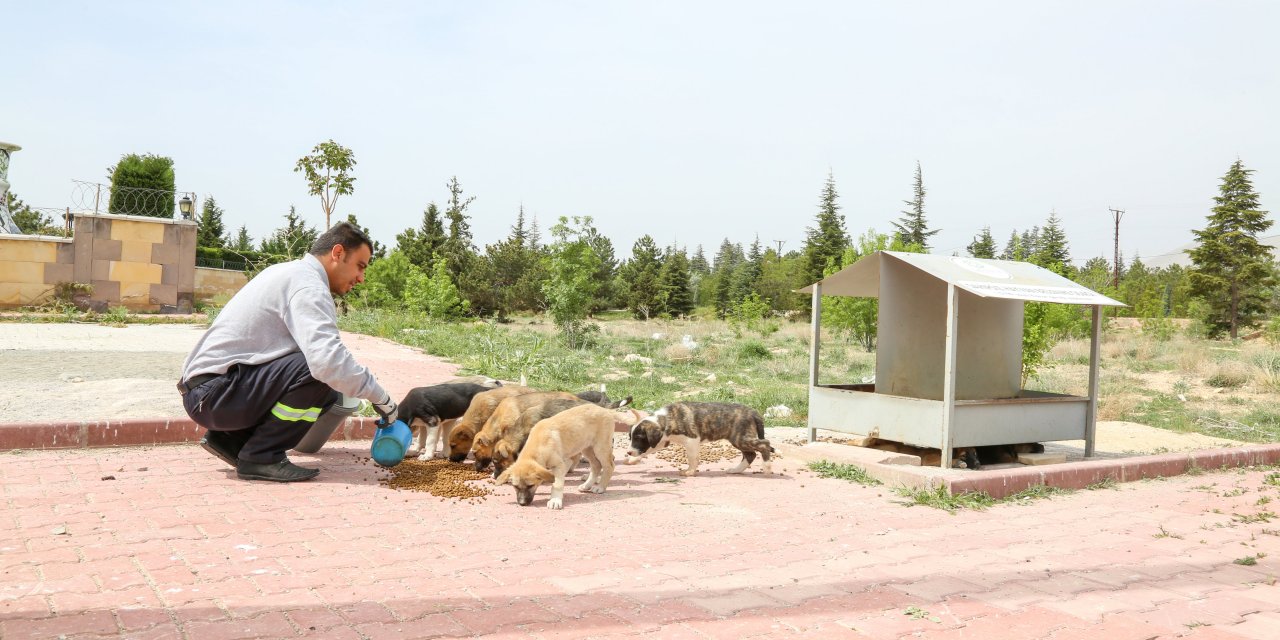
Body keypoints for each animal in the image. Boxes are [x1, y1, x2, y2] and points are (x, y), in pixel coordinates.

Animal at [622, 399, 768, 476]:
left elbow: (692, 458)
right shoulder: (662, 441)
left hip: (740, 438)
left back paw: (767, 467)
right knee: (751, 454)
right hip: (739, 439)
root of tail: (753, 412)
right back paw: (736, 470)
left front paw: (690, 471)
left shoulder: (691, 440)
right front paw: (633, 460)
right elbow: (646, 451)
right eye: (631, 437)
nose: (628, 452)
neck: (666, 419)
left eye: (639, 438)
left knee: (764, 444)